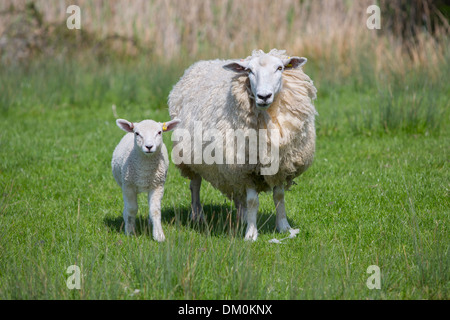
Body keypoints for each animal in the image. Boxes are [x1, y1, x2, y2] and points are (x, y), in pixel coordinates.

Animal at [167, 48, 318, 241]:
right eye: (249, 71)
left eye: (280, 68)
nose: (263, 96)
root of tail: (199, 64)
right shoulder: (246, 169)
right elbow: (253, 201)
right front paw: (251, 234)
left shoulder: (280, 166)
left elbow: (279, 196)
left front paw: (284, 227)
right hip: (191, 157)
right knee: (195, 185)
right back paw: (197, 214)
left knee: (238, 194)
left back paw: (241, 215)